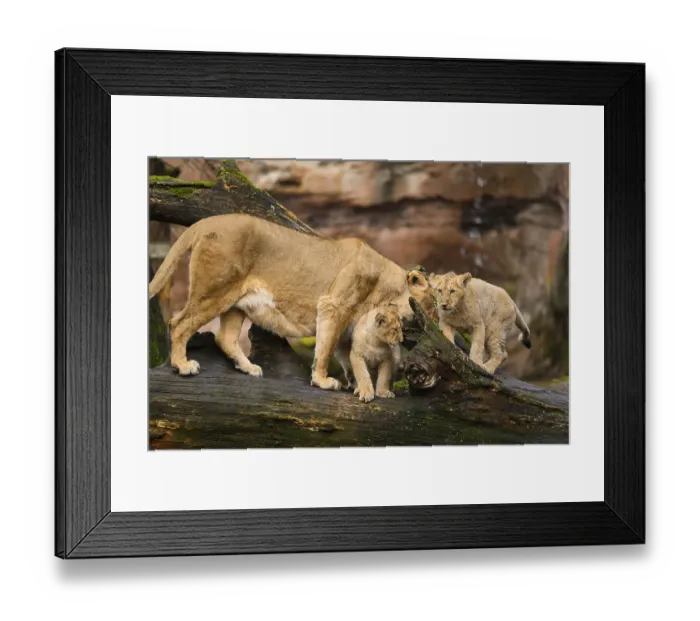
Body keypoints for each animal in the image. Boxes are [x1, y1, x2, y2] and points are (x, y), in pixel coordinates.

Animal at [148, 214, 427, 391]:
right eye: (429, 305)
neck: (385, 285)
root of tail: (205, 221)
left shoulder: (347, 323)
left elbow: (343, 351)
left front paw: (353, 382)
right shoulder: (333, 306)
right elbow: (325, 349)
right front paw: (323, 381)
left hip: (235, 302)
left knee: (224, 337)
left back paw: (249, 368)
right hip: (213, 290)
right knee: (179, 323)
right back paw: (183, 366)